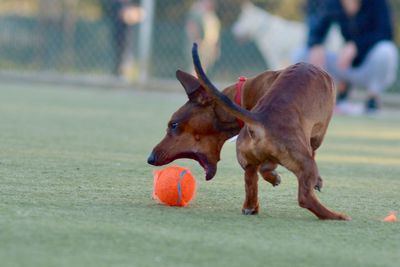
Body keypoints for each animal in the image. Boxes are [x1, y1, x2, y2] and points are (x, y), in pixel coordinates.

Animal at [148, 43, 350, 221]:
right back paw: (335, 216)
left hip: (248, 161)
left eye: (173, 125)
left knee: (252, 181)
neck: (243, 94)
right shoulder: (316, 135)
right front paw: (318, 181)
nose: (150, 158)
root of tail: (260, 119)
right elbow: (313, 150)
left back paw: (251, 206)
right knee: (304, 197)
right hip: (304, 161)